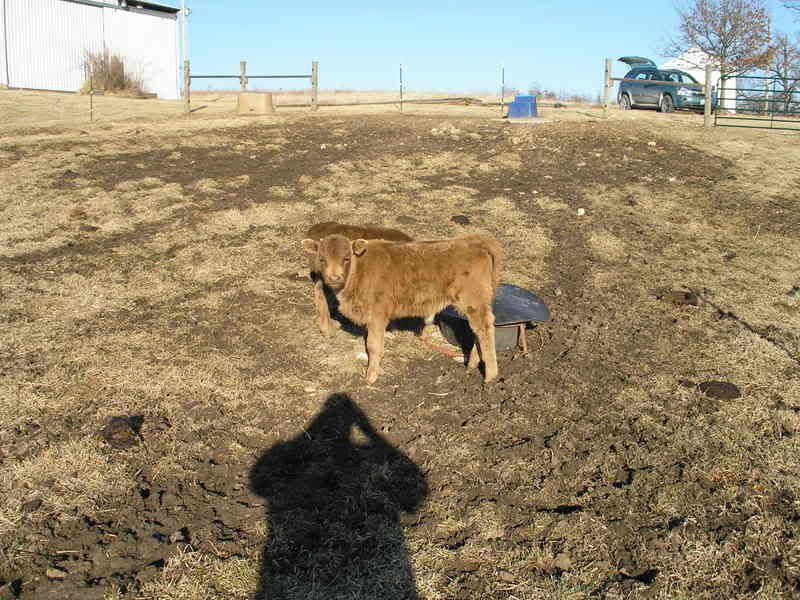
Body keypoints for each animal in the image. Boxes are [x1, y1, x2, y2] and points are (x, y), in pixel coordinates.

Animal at [301, 233, 503, 384]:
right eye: (322, 259)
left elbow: (373, 346)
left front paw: (370, 377)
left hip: (474, 300)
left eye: (346, 258)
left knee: (484, 329)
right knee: (477, 330)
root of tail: (474, 241)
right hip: (475, 304)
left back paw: (490, 376)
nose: (334, 277)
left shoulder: (377, 316)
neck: (358, 272)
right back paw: (472, 364)